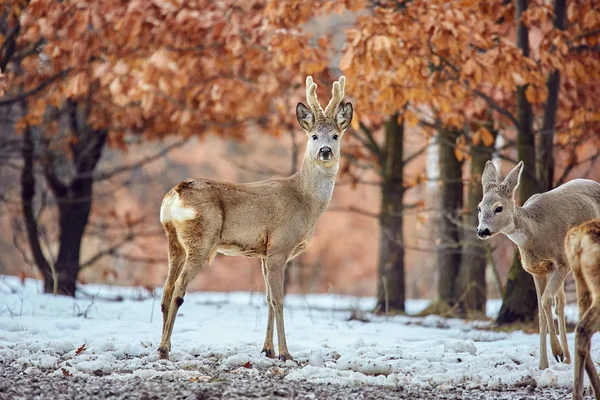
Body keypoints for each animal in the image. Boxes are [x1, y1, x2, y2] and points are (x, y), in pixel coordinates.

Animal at [478, 161, 600, 370]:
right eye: (479, 208)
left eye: (498, 208)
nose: (482, 231)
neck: (536, 232)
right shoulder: (537, 270)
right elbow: (542, 311)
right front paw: (545, 363)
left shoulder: (561, 263)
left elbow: (545, 301)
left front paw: (556, 351)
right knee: (561, 302)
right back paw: (568, 359)